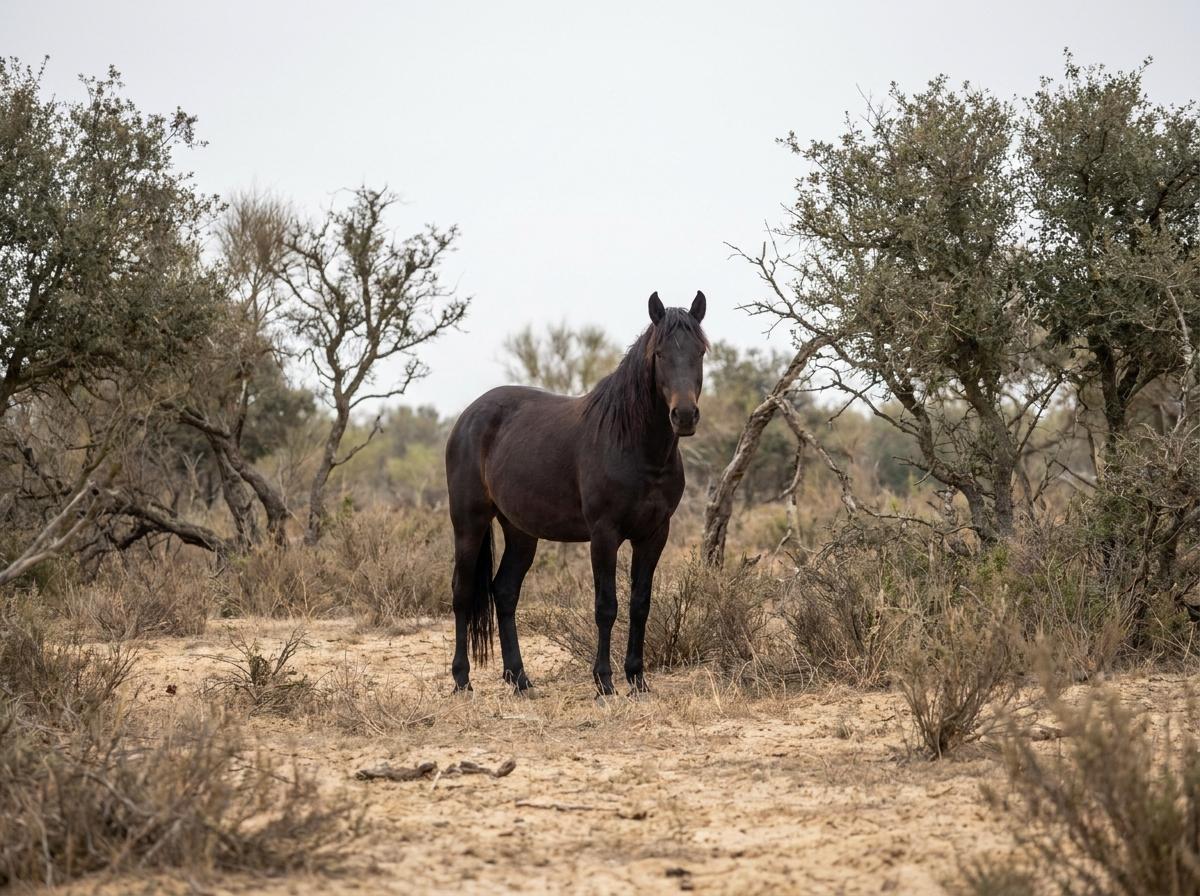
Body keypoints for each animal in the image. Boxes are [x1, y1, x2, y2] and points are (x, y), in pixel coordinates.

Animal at [444, 291, 708, 696]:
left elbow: (640, 604)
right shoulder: (604, 534)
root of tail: (468, 416)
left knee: (504, 592)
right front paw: (604, 682)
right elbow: (606, 606)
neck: (636, 446)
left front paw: (638, 679)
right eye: (660, 353)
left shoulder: (654, 534)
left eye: (699, 352)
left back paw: (520, 679)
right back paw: (462, 680)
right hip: (469, 523)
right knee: (462, 592)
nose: (684, 415)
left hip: (520, 530)